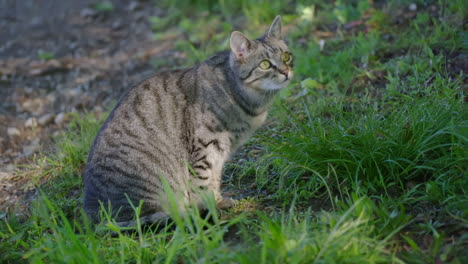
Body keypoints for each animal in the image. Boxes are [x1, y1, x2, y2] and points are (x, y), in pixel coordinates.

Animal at [81, 16, 292, 227]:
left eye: (286, 57)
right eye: (265, 64)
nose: (286, 72)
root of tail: (91, 214)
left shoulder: (219, 153)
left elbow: (214, 181)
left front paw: (218, 202)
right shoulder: (205, 148)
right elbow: (202, 185)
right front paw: (208, 212)